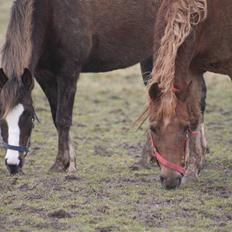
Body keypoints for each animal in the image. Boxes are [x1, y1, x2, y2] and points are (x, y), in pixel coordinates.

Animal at [148, 0, 231, 188]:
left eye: (183, 128)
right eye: (152, 128)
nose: (170, 180)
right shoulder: (193, 69)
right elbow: (195, 116)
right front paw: (193, 171)